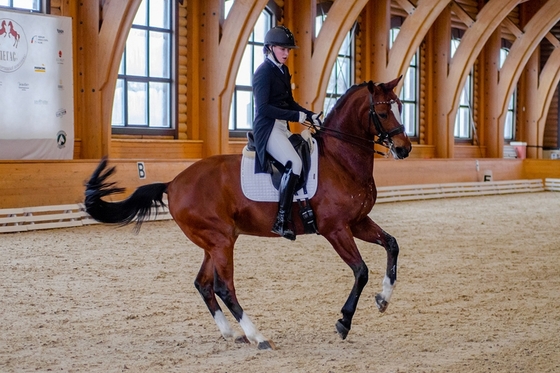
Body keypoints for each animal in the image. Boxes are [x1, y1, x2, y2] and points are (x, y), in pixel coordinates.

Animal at [85, 76, 414, 348]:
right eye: (383, 113)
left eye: (400, 107)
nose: (404, 149)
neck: (340, 159)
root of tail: (174, 182)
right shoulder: (335, 229)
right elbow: (361, 271)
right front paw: (344, 321)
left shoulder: (357, 222)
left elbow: (392, 245)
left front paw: (383, 298)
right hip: (220, 241)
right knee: (223, 287)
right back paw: (258, 336)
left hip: (215, 242)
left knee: (204, 284)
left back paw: (232, 333)